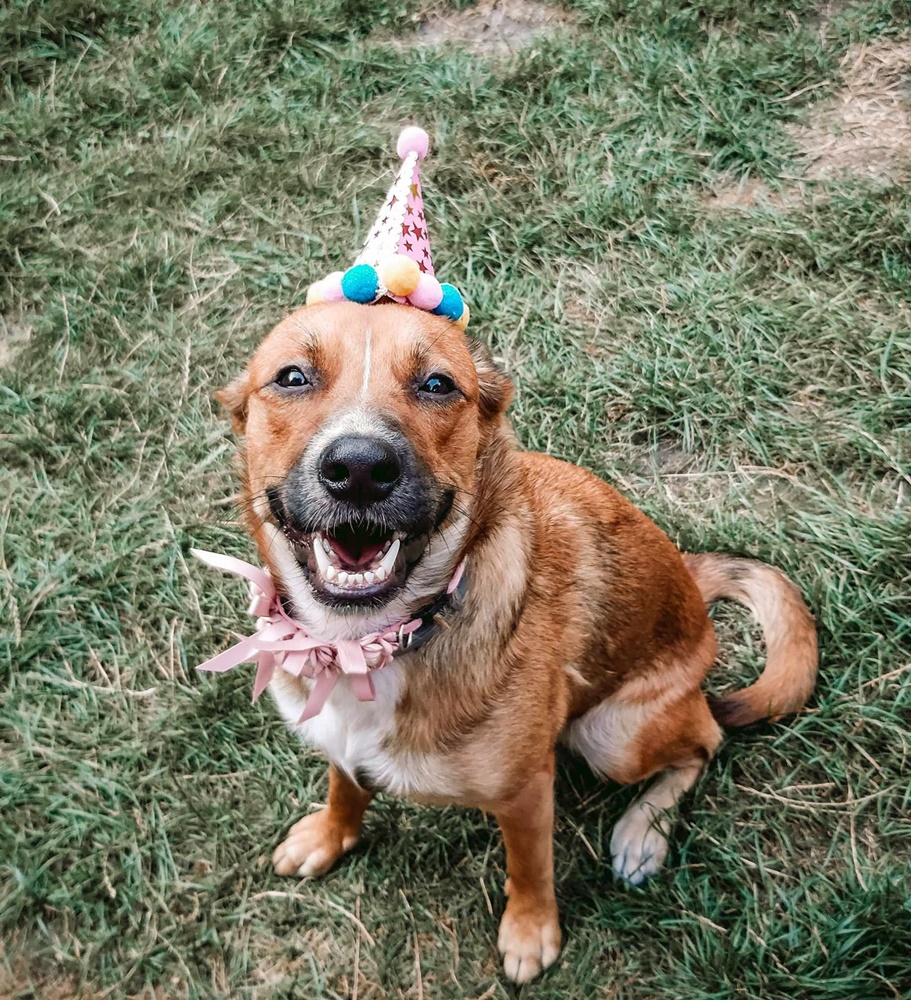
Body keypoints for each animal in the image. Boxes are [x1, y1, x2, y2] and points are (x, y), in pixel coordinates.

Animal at [216, 298, 820, 984]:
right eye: (293, 377)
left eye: (437, 384)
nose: (361, 470)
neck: (369, 642)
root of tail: (692, 579)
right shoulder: (340, 744)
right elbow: (345, 786)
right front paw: (328, 834)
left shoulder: (527, 790)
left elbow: (529, 867)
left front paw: (531, 933)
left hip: (612, 734)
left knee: (705, 740)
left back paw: (643, 832)